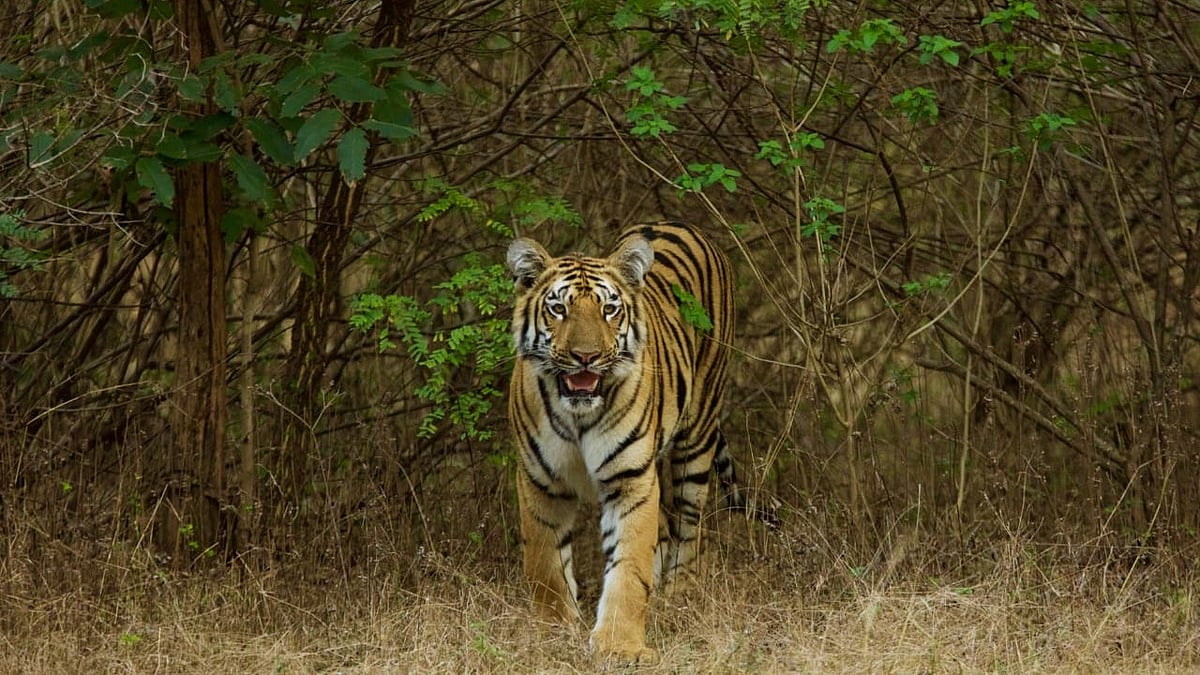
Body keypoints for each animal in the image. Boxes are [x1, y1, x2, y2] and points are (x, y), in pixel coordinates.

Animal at [506, 222, 740, 662]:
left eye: (609, 309)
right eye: (558, 309)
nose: (586, 356)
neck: (578, 413)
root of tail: (679, 223)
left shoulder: (632, 479)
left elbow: (629, 567)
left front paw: (620, 645)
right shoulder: (540, 480)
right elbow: (545, 565)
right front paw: (552, 631)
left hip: (697, 438)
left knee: (689, 527)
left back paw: (680, 595)